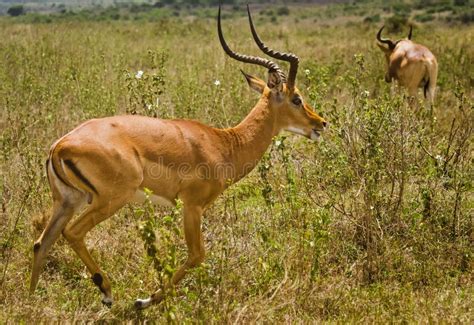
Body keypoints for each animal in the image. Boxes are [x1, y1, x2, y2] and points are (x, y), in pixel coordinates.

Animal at [28, 5, 326, 308]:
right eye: (297, 99)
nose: (321, 123)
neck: (224, 143)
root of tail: (60, 145)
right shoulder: (191, 205)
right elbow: (197, 255)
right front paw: (144, 300)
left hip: (68, 201)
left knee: (41, 243)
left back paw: (31, 302)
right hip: (110, 199)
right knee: (72, 233)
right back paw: (107, 293)